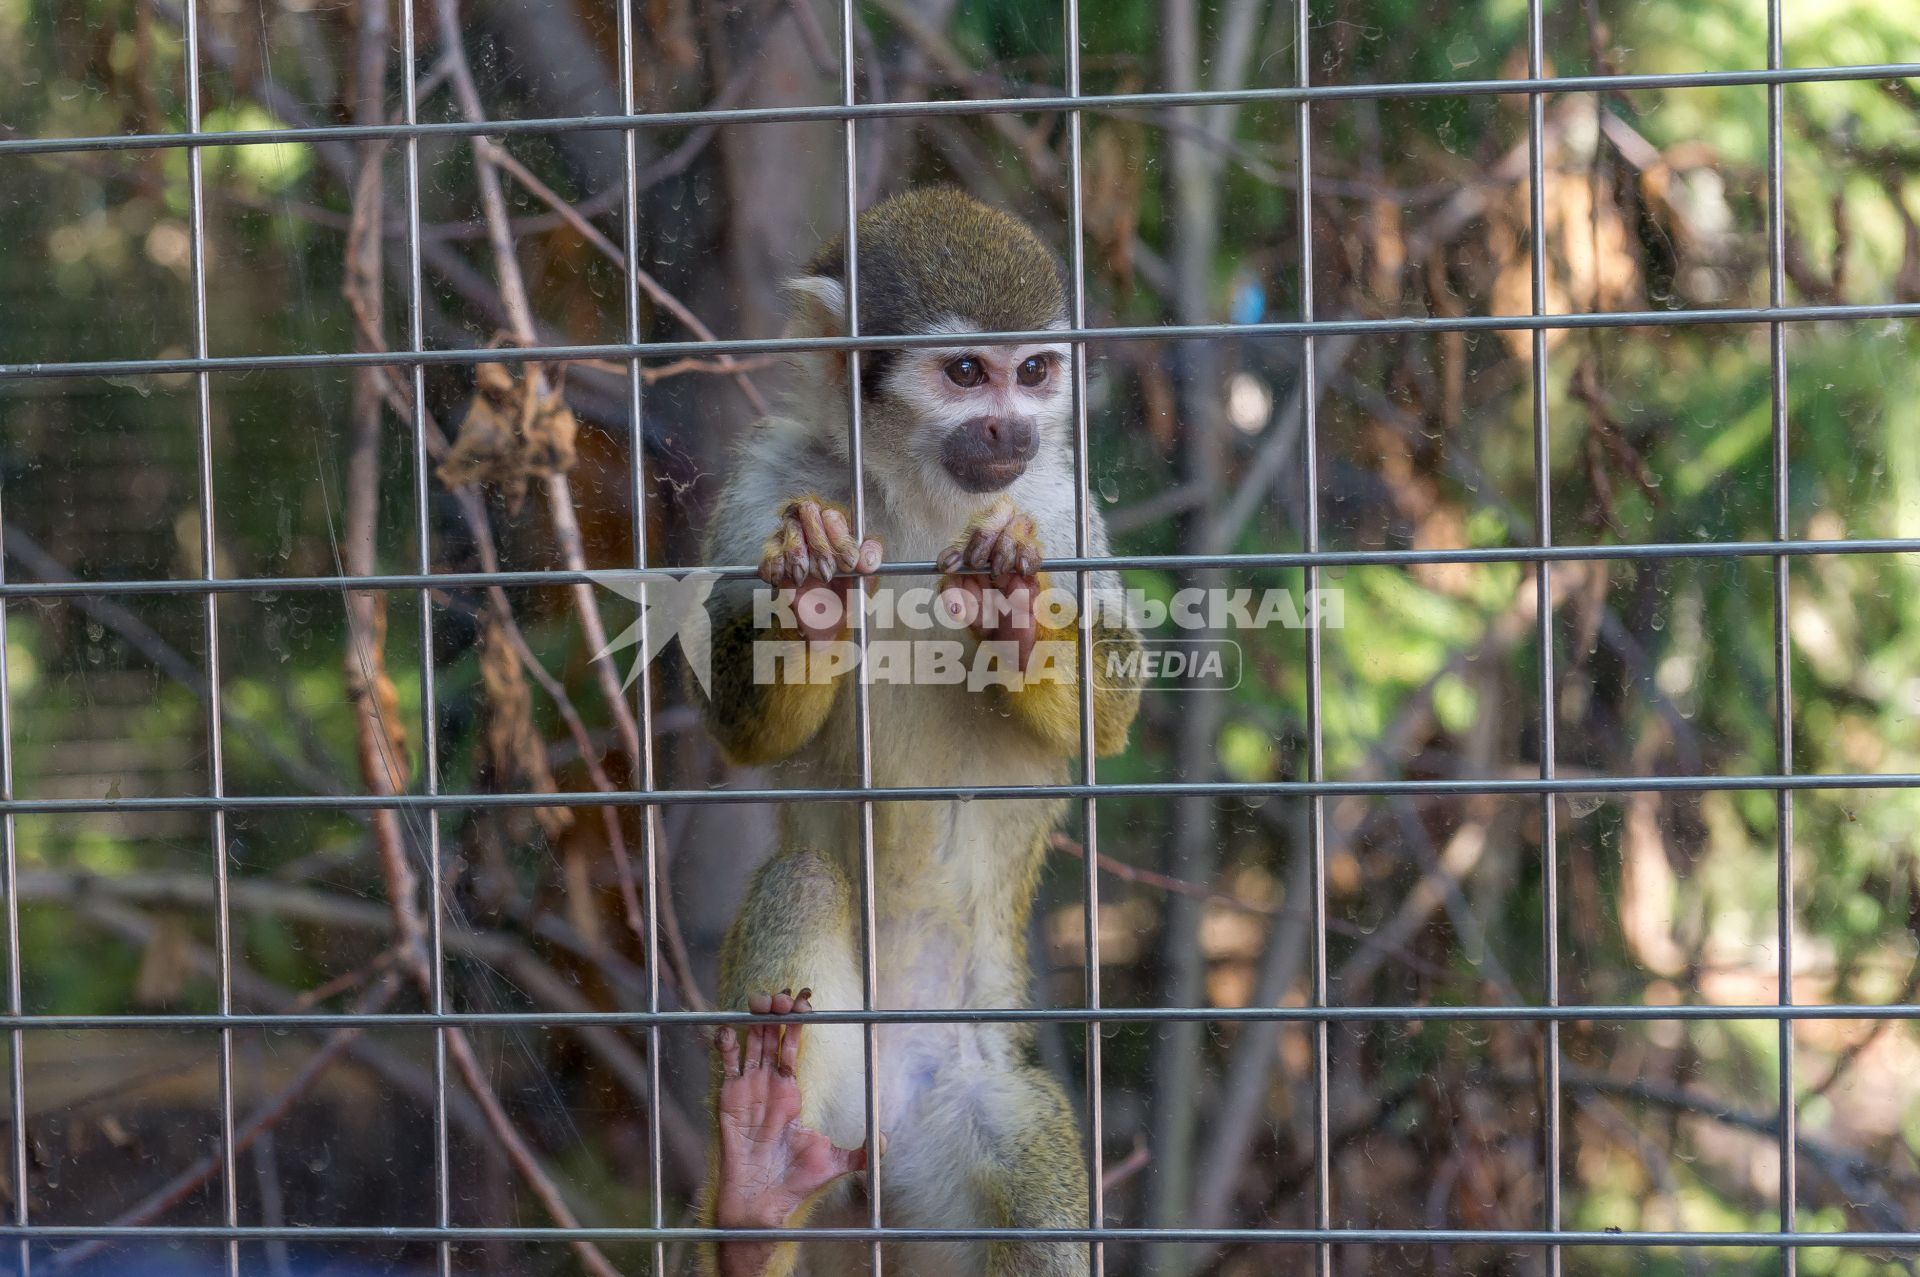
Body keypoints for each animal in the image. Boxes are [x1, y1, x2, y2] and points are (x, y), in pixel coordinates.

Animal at [691, 181, 1136, 1275]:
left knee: (1023, 1158)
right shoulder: (779, 472)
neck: (921, 502)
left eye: (1034, 372)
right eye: (967, 373)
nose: (1008, 427)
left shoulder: (1055, 497)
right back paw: (756, 1193)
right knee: (805, 882)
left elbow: (1112, 711)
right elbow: (735, 726)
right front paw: (808, 604)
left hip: (968, 1103)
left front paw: (1020, 614)